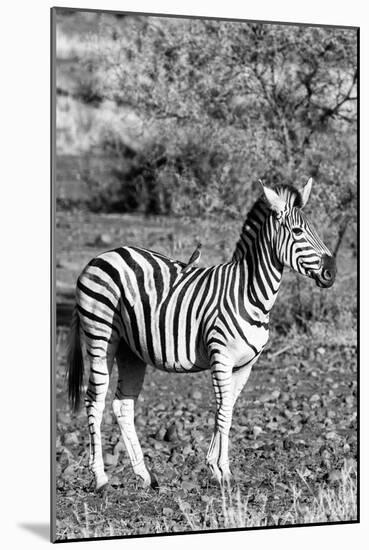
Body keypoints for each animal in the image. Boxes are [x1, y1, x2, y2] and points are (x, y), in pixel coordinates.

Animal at [66, 180, 334, 492]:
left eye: (313, 229)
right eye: (298, 232)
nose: (332, 272)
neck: (249, 293)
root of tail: (100, 257)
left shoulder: (245, 365)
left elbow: (227, 410)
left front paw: (216, 468)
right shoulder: (221, 358)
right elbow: (223, 413)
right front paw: (222, 470)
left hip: (129, 349)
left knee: (122, 406)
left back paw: (144, 475)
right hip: (100, 334)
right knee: (94, 401)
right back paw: (100, 478)